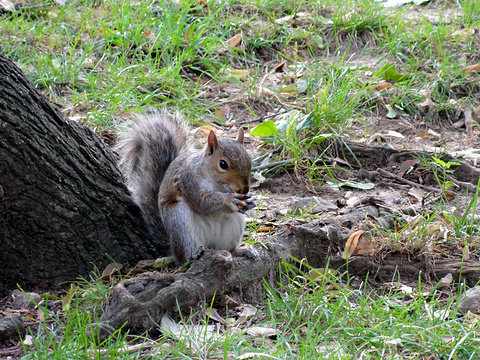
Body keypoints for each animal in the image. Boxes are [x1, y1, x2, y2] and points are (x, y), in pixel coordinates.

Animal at [116, 107, 256, 264]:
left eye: (250, 161)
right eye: (223, 164)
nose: (244, 189)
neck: (218, 184)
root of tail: (172, 247)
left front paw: (250, 200)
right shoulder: (188, 180)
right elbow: (202, 202)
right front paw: (229, 199)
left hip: (233, 225)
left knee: (227, 249)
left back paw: (241, 251)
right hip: (180, 221)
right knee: (184, 258)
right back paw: (193, 255)